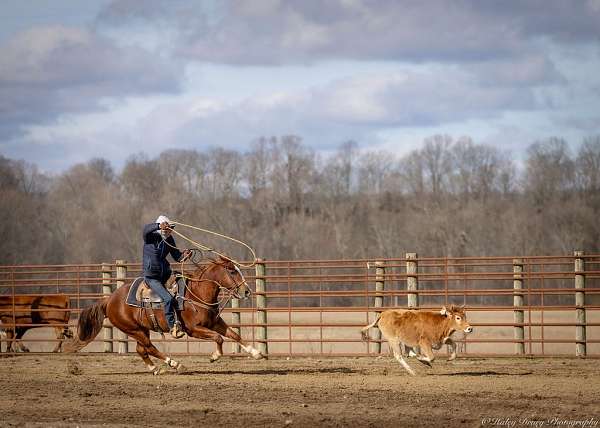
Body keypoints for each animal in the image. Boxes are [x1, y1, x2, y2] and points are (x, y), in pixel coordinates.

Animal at [64, 258, 264, 374]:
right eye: (232, 271)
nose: (247, 291)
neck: (196, 292)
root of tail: (109, 300)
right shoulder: (194, 330)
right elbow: (219, 338)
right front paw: (214, 356)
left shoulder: (215, 322)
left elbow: (233, 334)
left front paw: (256, 353)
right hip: (133, 329)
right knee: (149, 348)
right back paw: (175, 364)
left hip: (140, 329)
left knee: (141, 349)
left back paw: (155, 368)